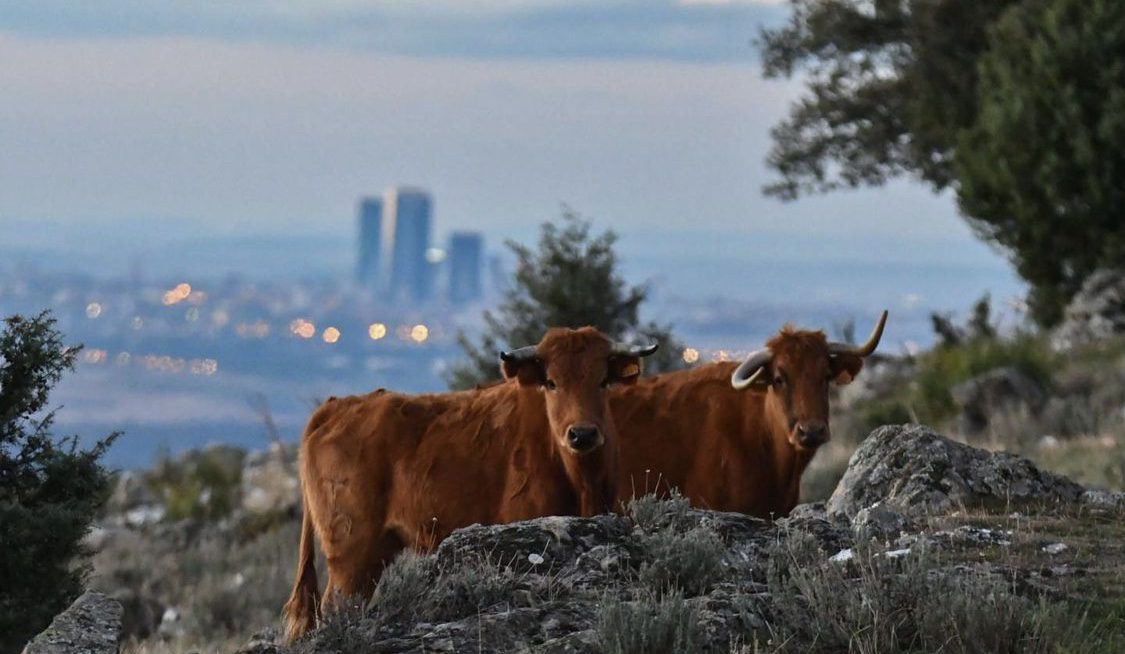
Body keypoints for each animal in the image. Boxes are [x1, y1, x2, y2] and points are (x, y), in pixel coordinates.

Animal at [281, 324, 657, 639]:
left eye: (602, 380)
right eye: (552, 382)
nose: (582, 434)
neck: (582, 481)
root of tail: (337, 407)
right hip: (350, 553)